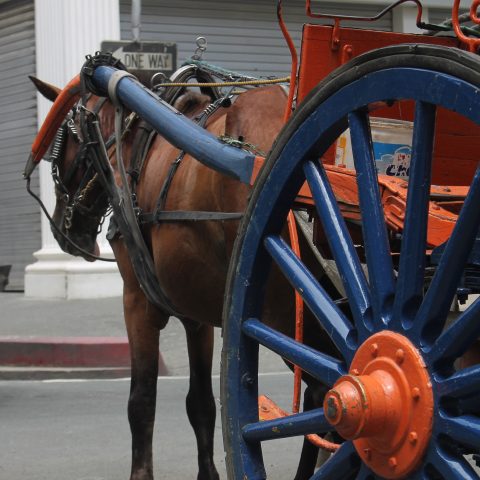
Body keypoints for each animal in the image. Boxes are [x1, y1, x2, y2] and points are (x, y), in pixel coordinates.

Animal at [31, 76, 338, 480]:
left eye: (61, 143)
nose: (65, 232)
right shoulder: (197, 317)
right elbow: (201, 403)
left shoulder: (137, 301)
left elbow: (141, 399)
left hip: (285, 308)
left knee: (325, 392)